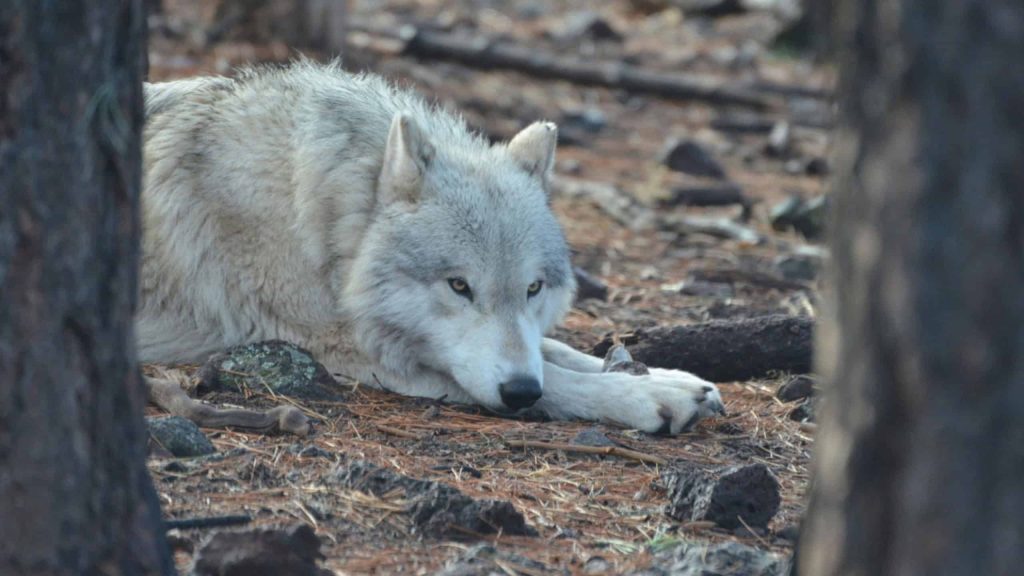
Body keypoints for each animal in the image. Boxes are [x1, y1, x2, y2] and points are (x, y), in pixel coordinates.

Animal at [139, 61, 725, 435]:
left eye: (533, 288)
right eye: (459, 286)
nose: (519, 393)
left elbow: (556, 350)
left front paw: (672, 378)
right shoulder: (356, 353)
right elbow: (557, 380)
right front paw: (649, 397)